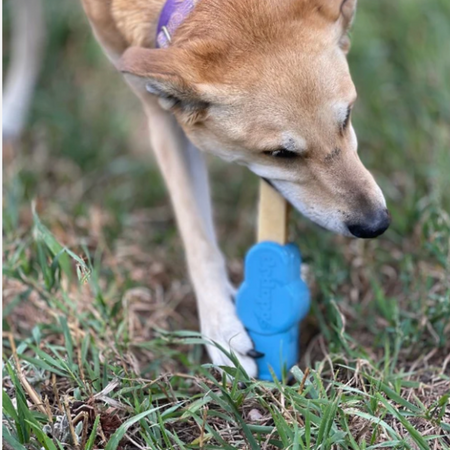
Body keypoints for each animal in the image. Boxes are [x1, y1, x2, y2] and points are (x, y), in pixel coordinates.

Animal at [80, 0, 386, 374]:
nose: (377, 224)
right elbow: (197, 237)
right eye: (280, 154)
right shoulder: (162, 117)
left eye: (347, 116)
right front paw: (222, 328)